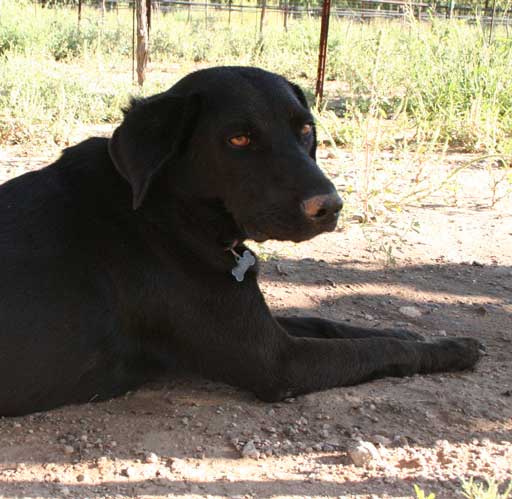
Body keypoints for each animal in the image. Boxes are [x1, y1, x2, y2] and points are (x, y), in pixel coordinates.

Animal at [0, 67, 482, 418]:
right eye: (239, 138)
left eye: (305, 130)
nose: (331, 206)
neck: (168, 215)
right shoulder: (279, 361)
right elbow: (376, 349)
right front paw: (451, 349)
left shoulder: (260, 322)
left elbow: (331, 323)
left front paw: (409, 330)